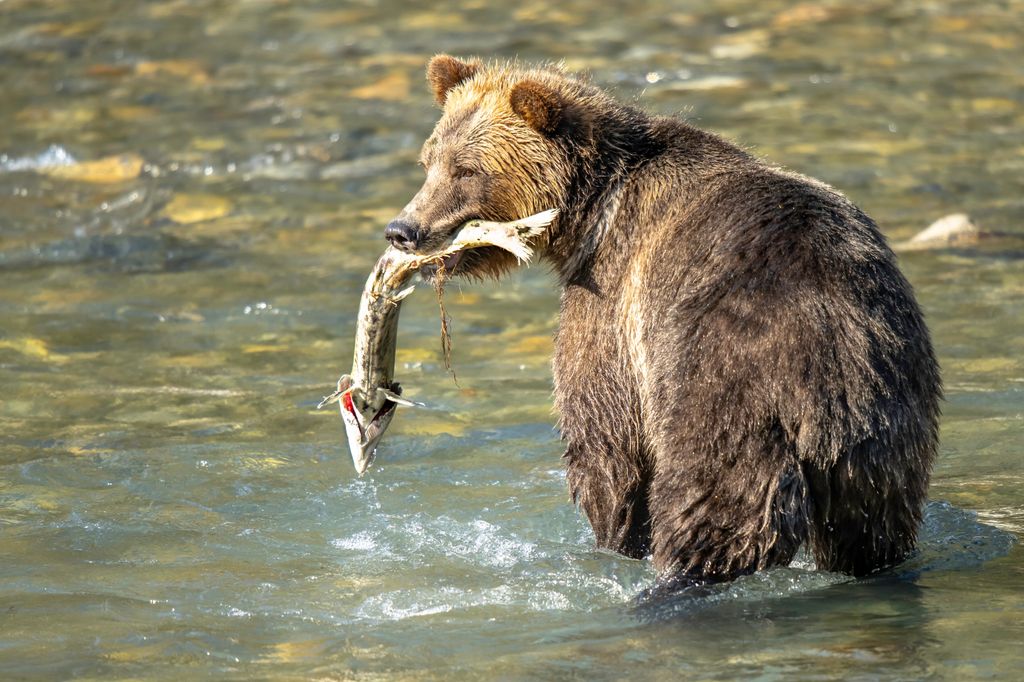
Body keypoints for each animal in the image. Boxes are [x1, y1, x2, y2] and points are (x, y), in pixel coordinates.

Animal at [383, 55, 942, 583]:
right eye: (428, 161)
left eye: (467, 169)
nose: (403, 229)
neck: (590, 213)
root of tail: (825, 343)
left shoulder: (612, 301)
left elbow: (606, 435)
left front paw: (612, 537)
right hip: (885, 417)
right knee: (873, 530)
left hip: (726, 386)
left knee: (711, 497)